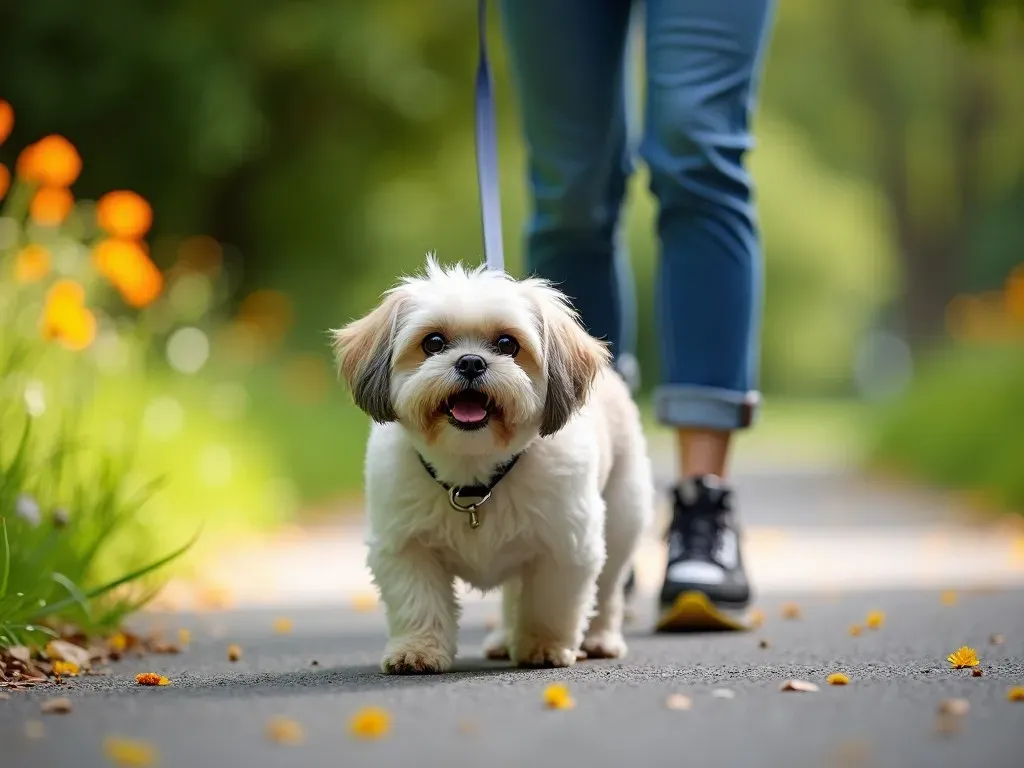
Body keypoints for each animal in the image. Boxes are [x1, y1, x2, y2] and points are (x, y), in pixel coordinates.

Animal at [335, 257, 655, 671]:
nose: (471, 362)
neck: (474, 477)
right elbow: (419, 603)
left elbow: (549, 604)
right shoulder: (407, 547)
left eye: (507, 344)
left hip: (620, 524)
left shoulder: (565, 546)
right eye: (433, 343)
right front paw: (418, 650)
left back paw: (600, 639)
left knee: (608, 589)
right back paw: (505, 638)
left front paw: (543, 647)